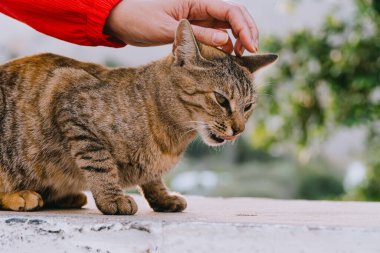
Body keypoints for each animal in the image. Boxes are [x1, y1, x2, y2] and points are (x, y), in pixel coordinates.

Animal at [0, 19, 278, 214]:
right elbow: (99, 162)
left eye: (248, 106)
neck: (172, 139)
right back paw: (23, 195)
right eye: (221, 100)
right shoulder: (69, 100)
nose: (239, 129)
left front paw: (162, 197)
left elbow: (152, 178)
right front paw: (112, 197)